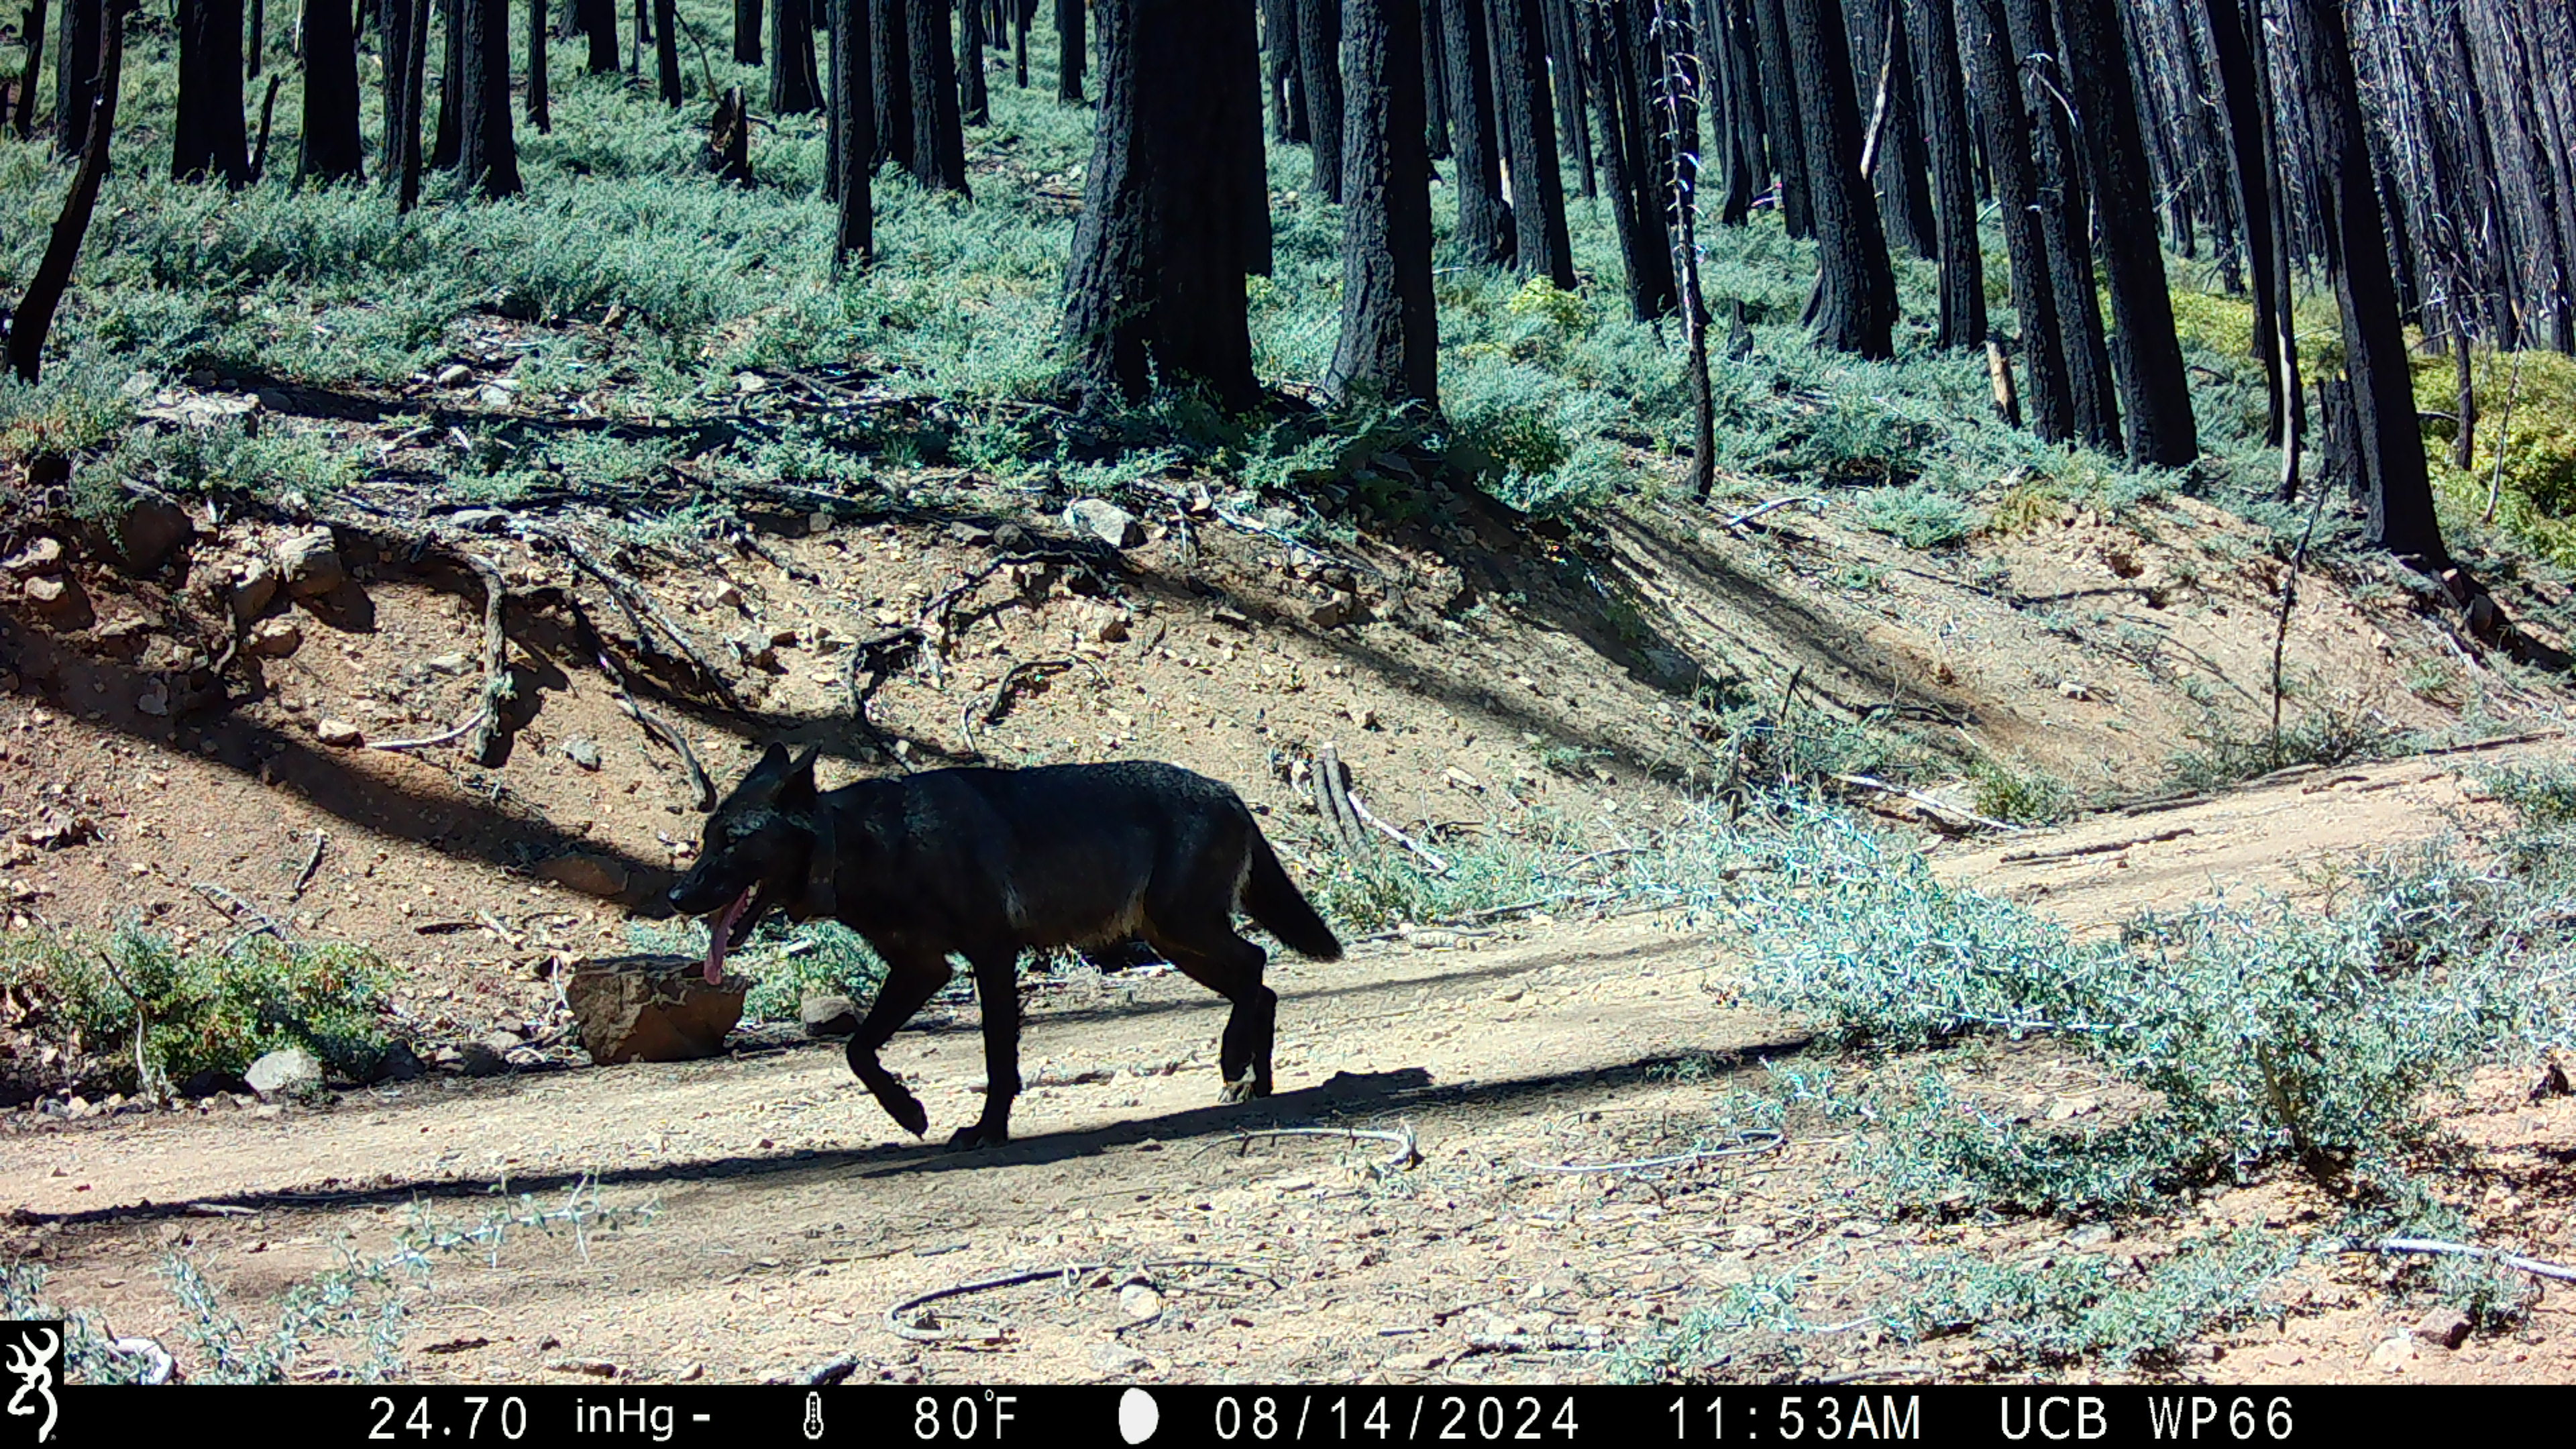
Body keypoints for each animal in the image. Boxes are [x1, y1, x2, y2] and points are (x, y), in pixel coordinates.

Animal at [664, 742, 1350, 1139]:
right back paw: (1255, 1083)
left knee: (1257, 967)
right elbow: (859, 1051)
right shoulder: (923, 970)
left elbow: (998, 1059)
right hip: (1178, 944)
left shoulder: (989, 957)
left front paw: (988, 1129)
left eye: (732, 843)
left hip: (1186, 931)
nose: (676, 897)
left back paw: (1237, 1066)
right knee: (1260, 983)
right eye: (705, 839)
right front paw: (908, 1111)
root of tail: (1231, 792)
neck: (874, 847)